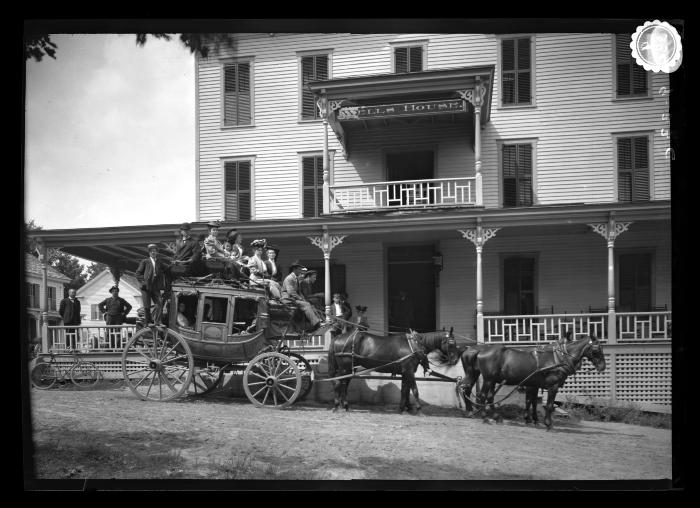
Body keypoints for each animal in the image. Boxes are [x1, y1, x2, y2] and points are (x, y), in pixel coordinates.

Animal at [462, 334, 604, 428]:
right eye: (596, 350)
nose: (603, 367)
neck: (559, 358)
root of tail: (480, 350)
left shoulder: (533, 384)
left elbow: (532, 401)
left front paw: (533, 420)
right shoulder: (552, 386)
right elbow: (548, 405)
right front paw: (547, 423)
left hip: (483, 377)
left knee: (475, 392)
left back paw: (488, 415)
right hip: (488, 379)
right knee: (482, 395)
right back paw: (485, 417)